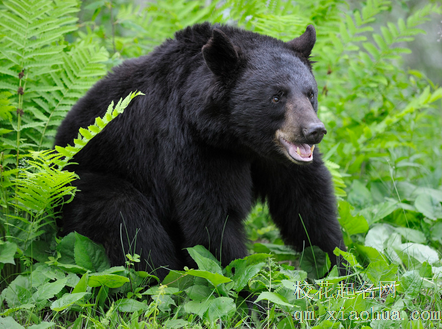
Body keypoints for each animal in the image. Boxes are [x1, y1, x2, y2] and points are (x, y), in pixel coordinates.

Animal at [54, 23, 346, 278]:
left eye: (309, 94)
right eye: (277, 96)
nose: (314, 130)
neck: (238, 140)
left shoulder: (276, 159)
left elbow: (307, 204)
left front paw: (341, 267)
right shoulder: (193, 147)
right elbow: (212, 218)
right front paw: (248, 293)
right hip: (85, 185)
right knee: (127, 219)